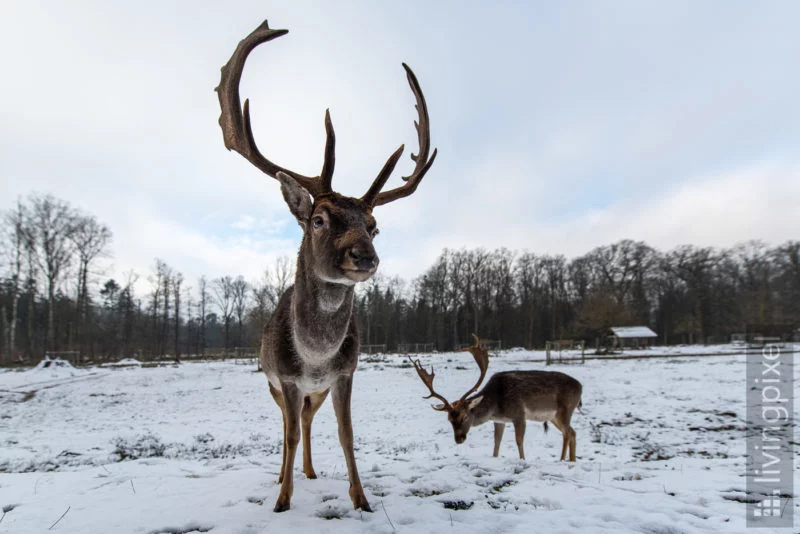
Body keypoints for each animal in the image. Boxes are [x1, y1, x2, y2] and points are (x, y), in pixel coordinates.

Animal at [216, 21, 437, 513]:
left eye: (374, 226)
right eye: (319, 219)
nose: (364, 257)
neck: (315, 358)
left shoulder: (344, 375)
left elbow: (347, 434)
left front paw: (361, 498)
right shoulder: (286, 380)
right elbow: (289, 435)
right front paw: (282, 499)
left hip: (314, 393)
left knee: (308, 422)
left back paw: (310, 472)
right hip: (276, 385)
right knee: (288, 426)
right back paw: (285, 475)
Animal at [410, 335, 582, 462]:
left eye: (465, 416)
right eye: (449, 419)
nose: (459, 439)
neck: (496, 405)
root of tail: (581, 387)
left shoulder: (519, 415)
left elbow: (519, 441)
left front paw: (523, 460)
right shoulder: (500, 420)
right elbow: (496, 442)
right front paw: (495, 457)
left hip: (566, 410)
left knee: (569, 433)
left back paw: (567, 461)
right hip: (554, 417)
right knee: (570, 433)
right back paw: (567, 460)